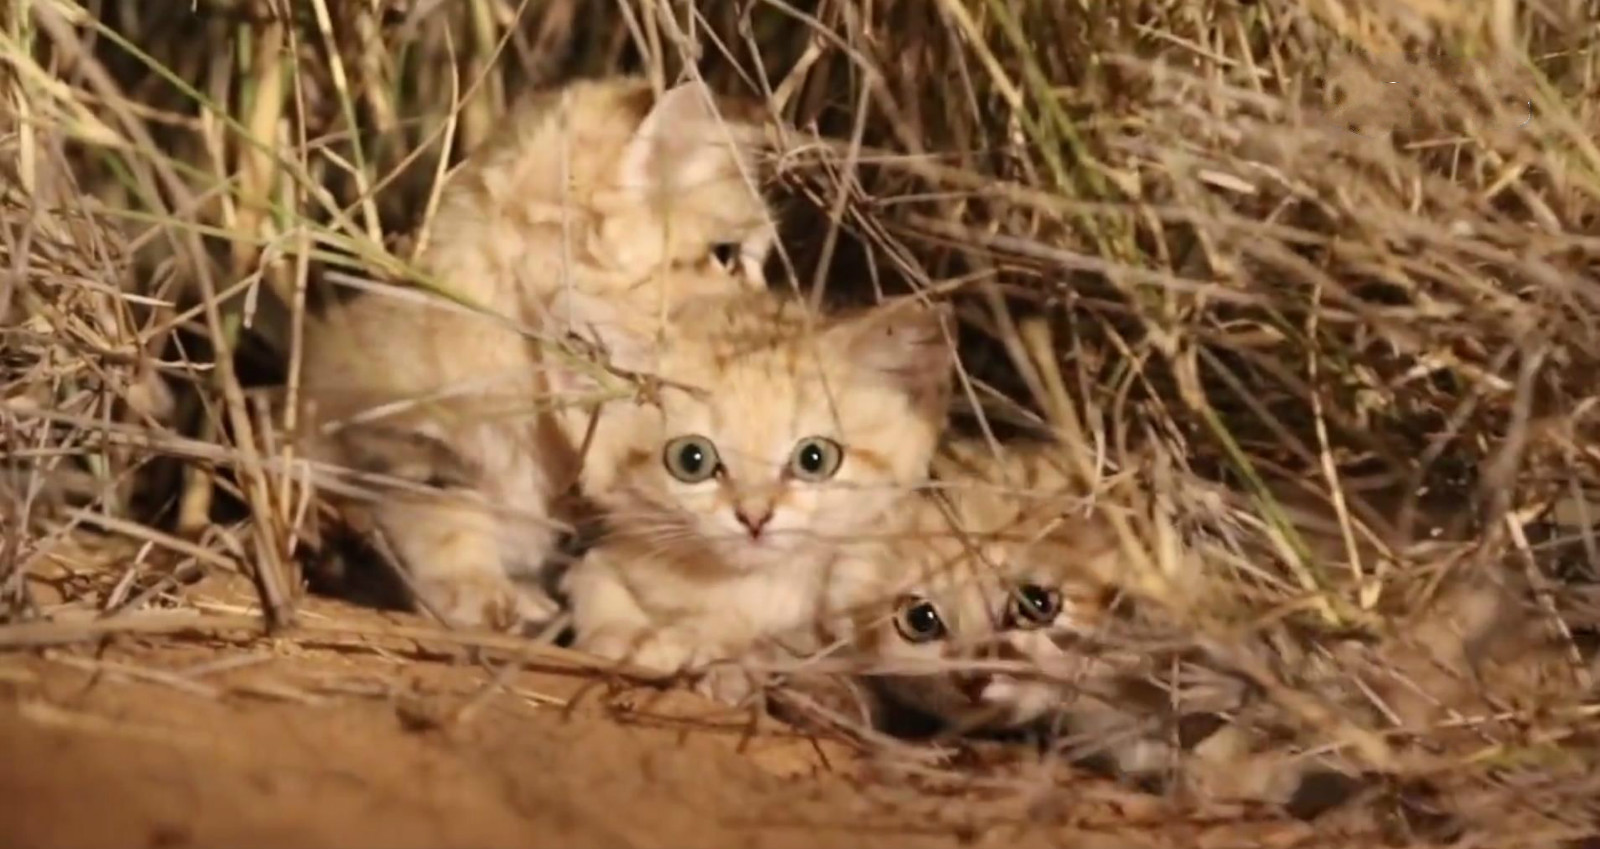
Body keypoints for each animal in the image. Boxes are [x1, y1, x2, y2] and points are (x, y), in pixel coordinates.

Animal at [556, 286, 947, 690]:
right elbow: (593, 577)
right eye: (690, 459)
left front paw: (711, 658)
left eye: (814, 458)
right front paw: (618, 635)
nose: (754, 517)